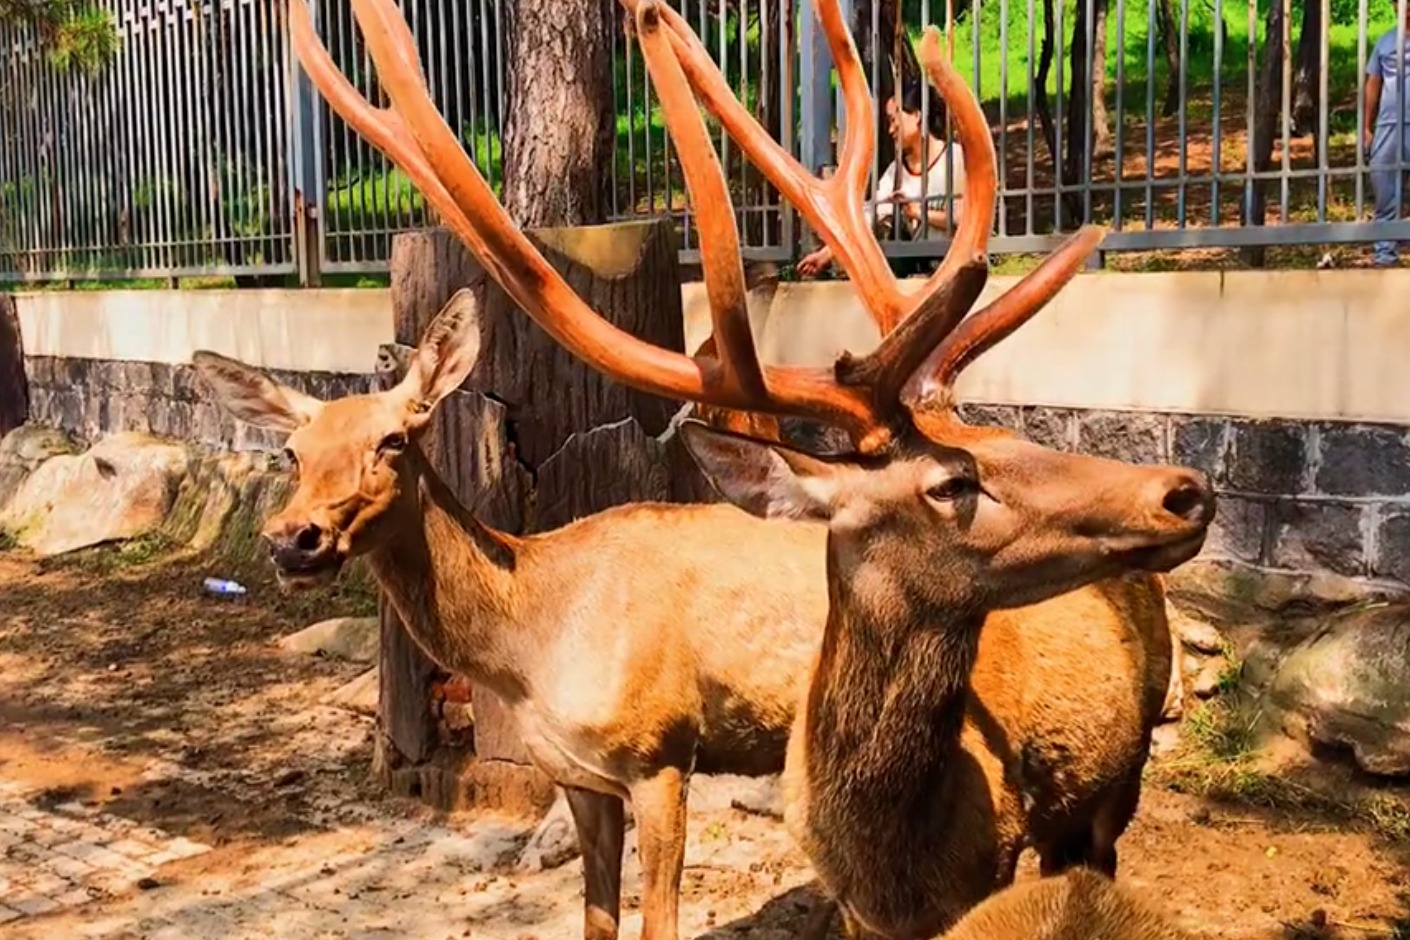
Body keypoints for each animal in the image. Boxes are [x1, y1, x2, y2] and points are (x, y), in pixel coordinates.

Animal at [190, 1, 1201, 940]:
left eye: (395, 440)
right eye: (290, 452)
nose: (293, 538)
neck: (529, 643)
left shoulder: (661, 753)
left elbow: (657, 919)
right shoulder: (579, 778)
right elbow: (595, 920)